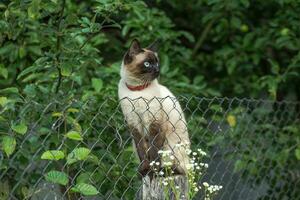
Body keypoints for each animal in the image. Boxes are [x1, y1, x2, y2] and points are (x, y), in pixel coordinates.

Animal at [118, 39, 190, 177]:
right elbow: (142, 151)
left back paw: (163, 171)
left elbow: (154, 152)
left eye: (157, 63)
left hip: (170, 144)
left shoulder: (154, 123)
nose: (157, 70)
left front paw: (153, 171)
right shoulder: (134, 125)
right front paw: (145, 169)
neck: (138, 90)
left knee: (179, 170)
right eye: (147, 64)